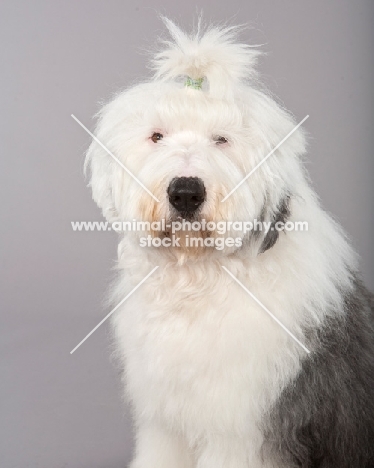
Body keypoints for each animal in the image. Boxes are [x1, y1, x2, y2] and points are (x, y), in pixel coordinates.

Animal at [84, 16, 374, 466]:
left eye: (221, 139)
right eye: (157, 136)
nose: (185, 192)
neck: (197, 280)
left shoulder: (242, 431)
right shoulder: (166, 420)